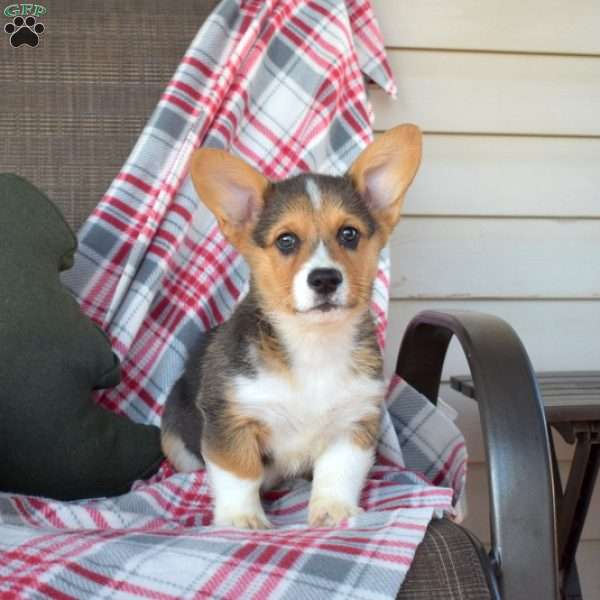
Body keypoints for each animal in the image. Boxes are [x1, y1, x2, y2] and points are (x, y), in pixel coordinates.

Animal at [161, 124, 422, 528]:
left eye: (349, 234)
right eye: (286, 240)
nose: (325, 279)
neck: (312, 343)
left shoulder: (353, 421)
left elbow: (339, 472)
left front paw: (333, 512)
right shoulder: (231, 420)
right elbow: (239, 473)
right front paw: (241, 519)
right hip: (172, 433)